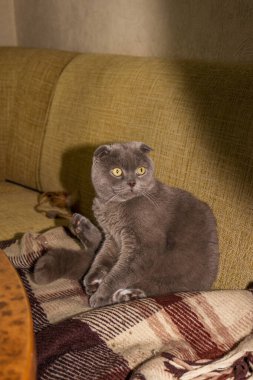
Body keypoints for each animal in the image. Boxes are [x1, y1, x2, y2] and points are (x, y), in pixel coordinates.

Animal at [34, 141, 219, 308]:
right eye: (117, 171)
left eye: (141, 170)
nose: (132, 182)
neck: (112, 206)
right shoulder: (112, 237)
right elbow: (102, 256)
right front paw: (93, 279)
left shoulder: (143, 245)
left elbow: (122, 271)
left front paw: (100, 295)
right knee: (94, 249)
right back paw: (79, 226)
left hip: (174, 273)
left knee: (155, 286)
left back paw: (127, 295)